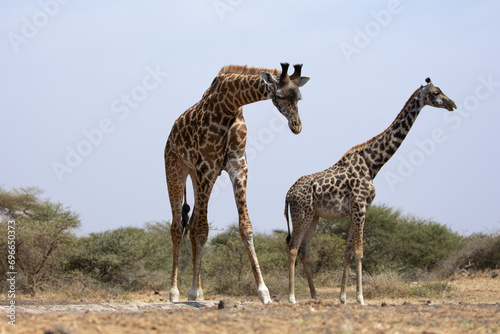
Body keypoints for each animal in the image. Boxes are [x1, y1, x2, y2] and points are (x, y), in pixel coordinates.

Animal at [166, 62, 310, 302]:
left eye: (299, 96)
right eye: (279, 95)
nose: (297, 126)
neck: (229, 104)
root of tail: (171, 134)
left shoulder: (237, 167)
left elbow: (246, 227)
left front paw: (263, 292)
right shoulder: (207, 165)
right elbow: (203, 230)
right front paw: (192, 291)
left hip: (198, 176)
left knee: (192, 224)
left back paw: (199, 291)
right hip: (176, 168)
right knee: (178, 226)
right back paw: (175, 292)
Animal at [284, 78, 456, 306]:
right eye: (436, 92)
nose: (452, 104)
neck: (373, 163)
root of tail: (288, 194)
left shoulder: (355, 210)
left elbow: (348, 252)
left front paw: (343, 297)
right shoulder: (360, 206)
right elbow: (359, 251)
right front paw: (360, 298)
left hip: (313, 216)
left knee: (305, 251)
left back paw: (315, 296)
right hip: (301, 214)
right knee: (293, 248)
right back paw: (292, 297)